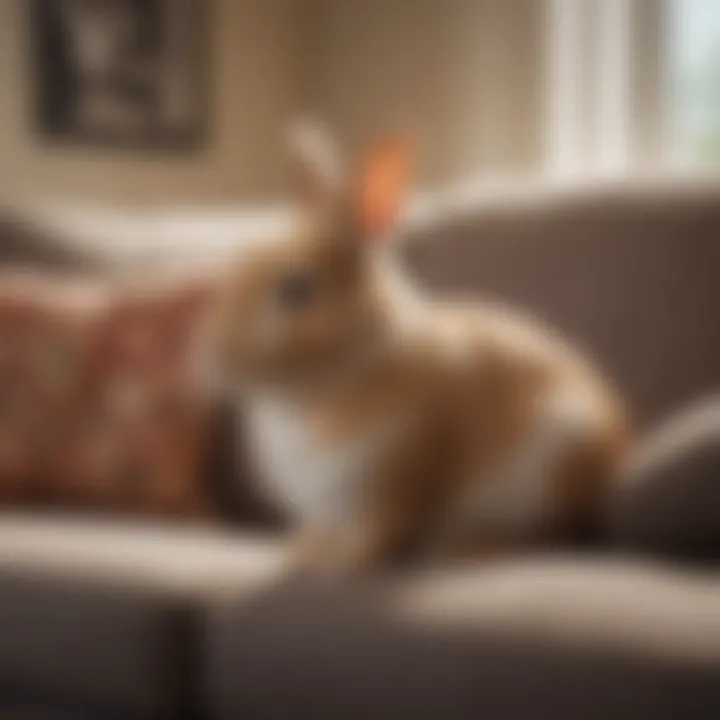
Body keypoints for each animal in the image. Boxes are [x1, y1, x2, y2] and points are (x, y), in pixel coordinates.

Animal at [212, 122, 632, 572]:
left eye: (295, 289)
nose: (219, 358)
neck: (344, 368)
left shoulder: (404, 476)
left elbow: (382, 533)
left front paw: (343, 563)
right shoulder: (334, 507)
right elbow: (325, 529)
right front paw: (303, 552)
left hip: (556, 466)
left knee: (549, 537)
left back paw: (470, 547)